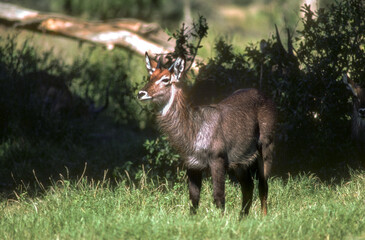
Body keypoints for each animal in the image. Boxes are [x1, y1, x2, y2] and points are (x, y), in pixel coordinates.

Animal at [138, 52, 274, 216]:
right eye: (150, 77)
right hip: (240, 162)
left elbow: (219, 197)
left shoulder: (218, 159)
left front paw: (221, 220)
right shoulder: (192, 164)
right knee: (248, 187)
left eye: (165, 79)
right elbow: (194, 198)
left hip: (266, 148)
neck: (194, 131)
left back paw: (263, 217)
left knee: (263, 186)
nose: (141, 93)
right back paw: (242, 218)